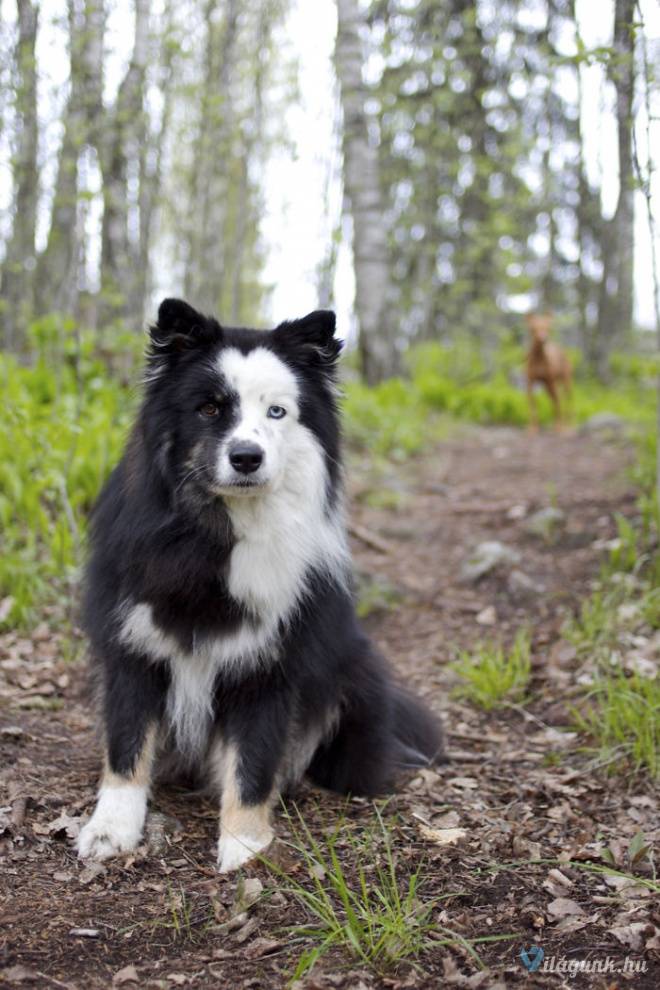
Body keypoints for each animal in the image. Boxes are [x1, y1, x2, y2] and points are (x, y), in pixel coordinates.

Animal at [78, 298, 444, 872]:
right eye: (209, 409)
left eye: (277, 412)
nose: (247, 457)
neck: (213, 536)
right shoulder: (133, 646)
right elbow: (126, 746)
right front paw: (111, 830)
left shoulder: (268, 666)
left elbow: (252, 762)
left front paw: (246, 847)